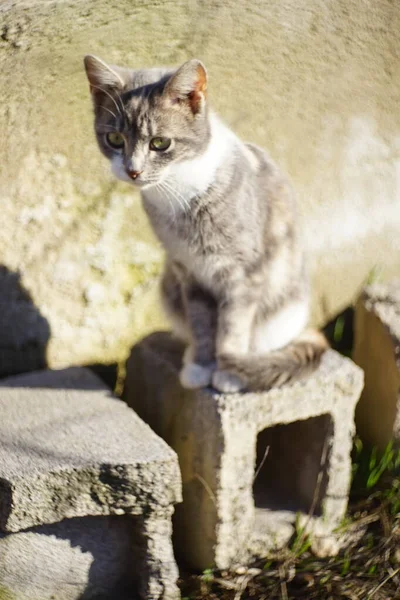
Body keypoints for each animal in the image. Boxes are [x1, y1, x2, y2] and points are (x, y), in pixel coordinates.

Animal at [84, 55, 328, 394]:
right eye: (115, 139)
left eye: (161, 143)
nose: (133, 171)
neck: (180, 190)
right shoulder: (189, 274)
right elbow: (202, 327)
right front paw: (201, 366)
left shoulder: (244, 274)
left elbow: (233, 328)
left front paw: (228, 371)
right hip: (169, 286)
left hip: (283, 310)